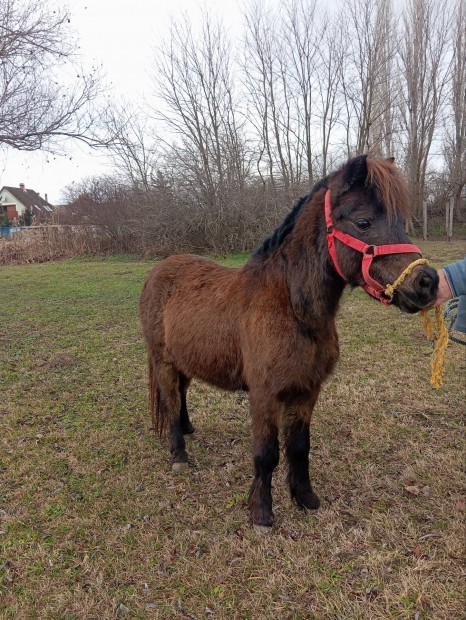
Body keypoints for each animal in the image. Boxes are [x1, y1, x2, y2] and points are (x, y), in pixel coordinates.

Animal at [138, 155, 436, 528]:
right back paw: (179, 454)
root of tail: (159, 270)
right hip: (163, 361)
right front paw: (262, 513)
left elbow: (298, 447)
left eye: (401, 222)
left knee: (181, 395)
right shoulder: (265, 394)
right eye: (363, 222)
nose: (428, 282)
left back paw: (189, 428)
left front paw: (305, 498)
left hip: (187, 361)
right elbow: (266, 454)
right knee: (169, 400)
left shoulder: (307, 390)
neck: (289, 307)